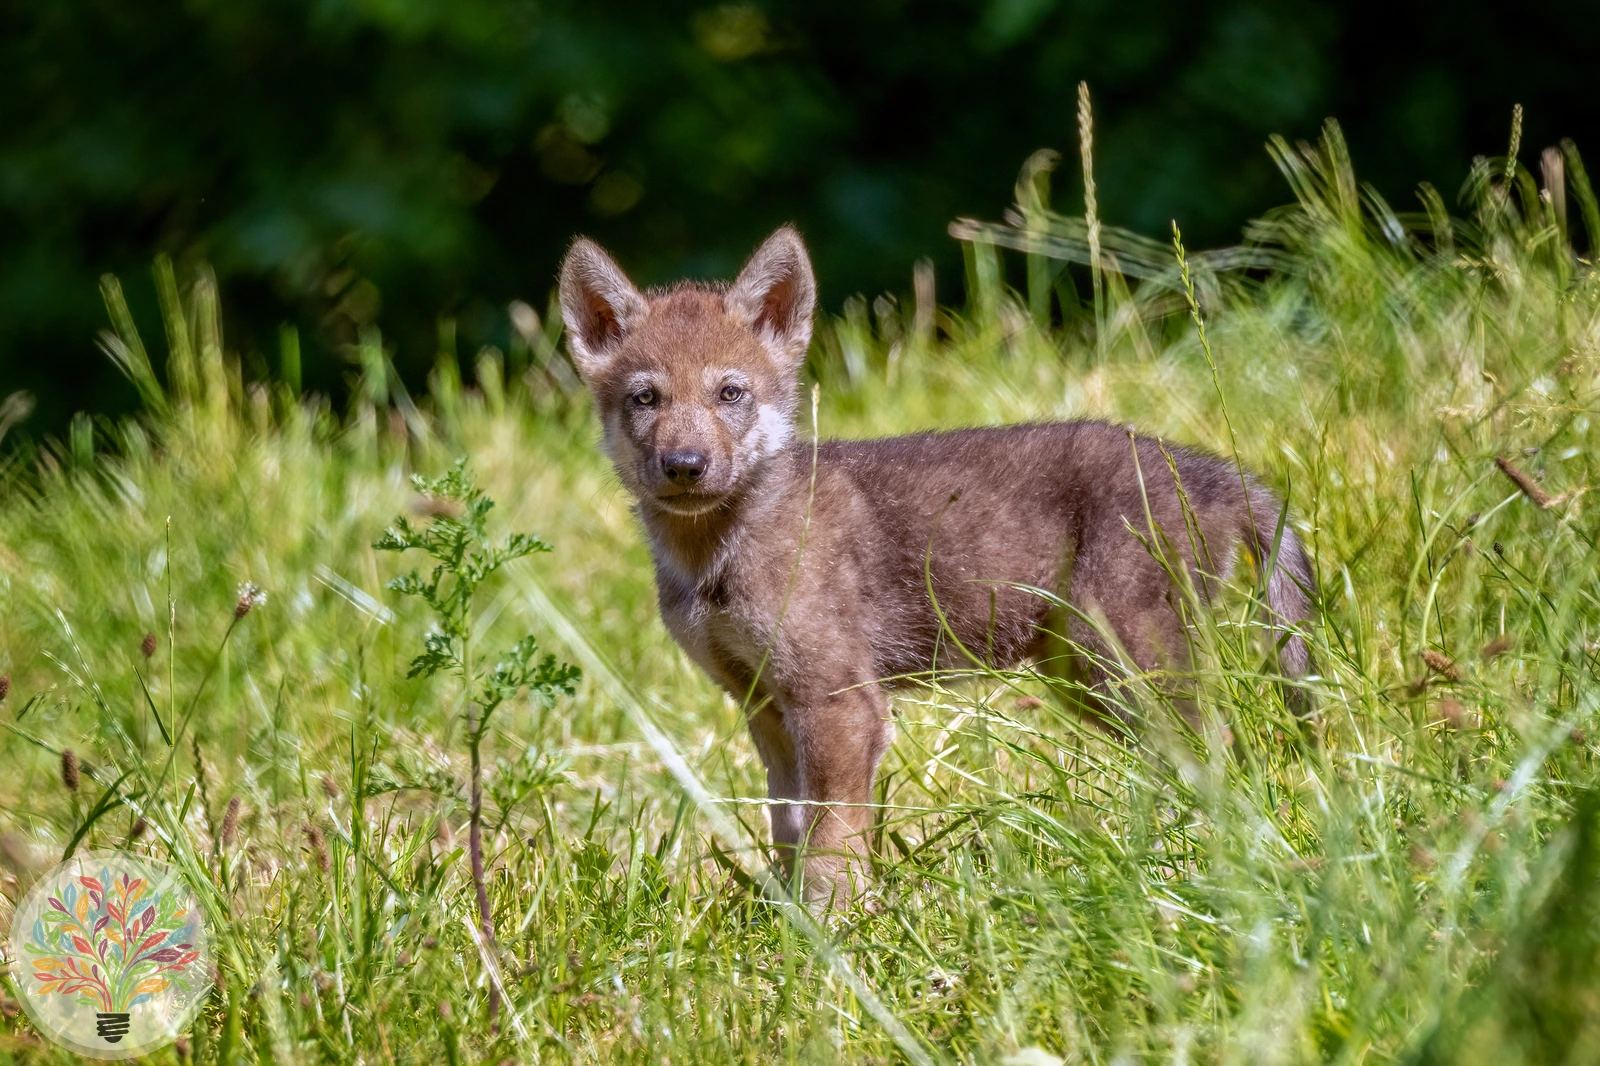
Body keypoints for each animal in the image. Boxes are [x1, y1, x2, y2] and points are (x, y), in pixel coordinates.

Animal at [558, 226, 1314, 902]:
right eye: (646, 398)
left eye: (730, 393)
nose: (685, 466)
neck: (715, 558)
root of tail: (1211, 471)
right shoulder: (766, 706)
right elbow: (790, 829)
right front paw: (785, 925)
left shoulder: (839, 701)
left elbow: (833, 841)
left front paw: (834, 933)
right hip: (1083, 674)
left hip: (1122, 658)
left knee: (1217, 748)